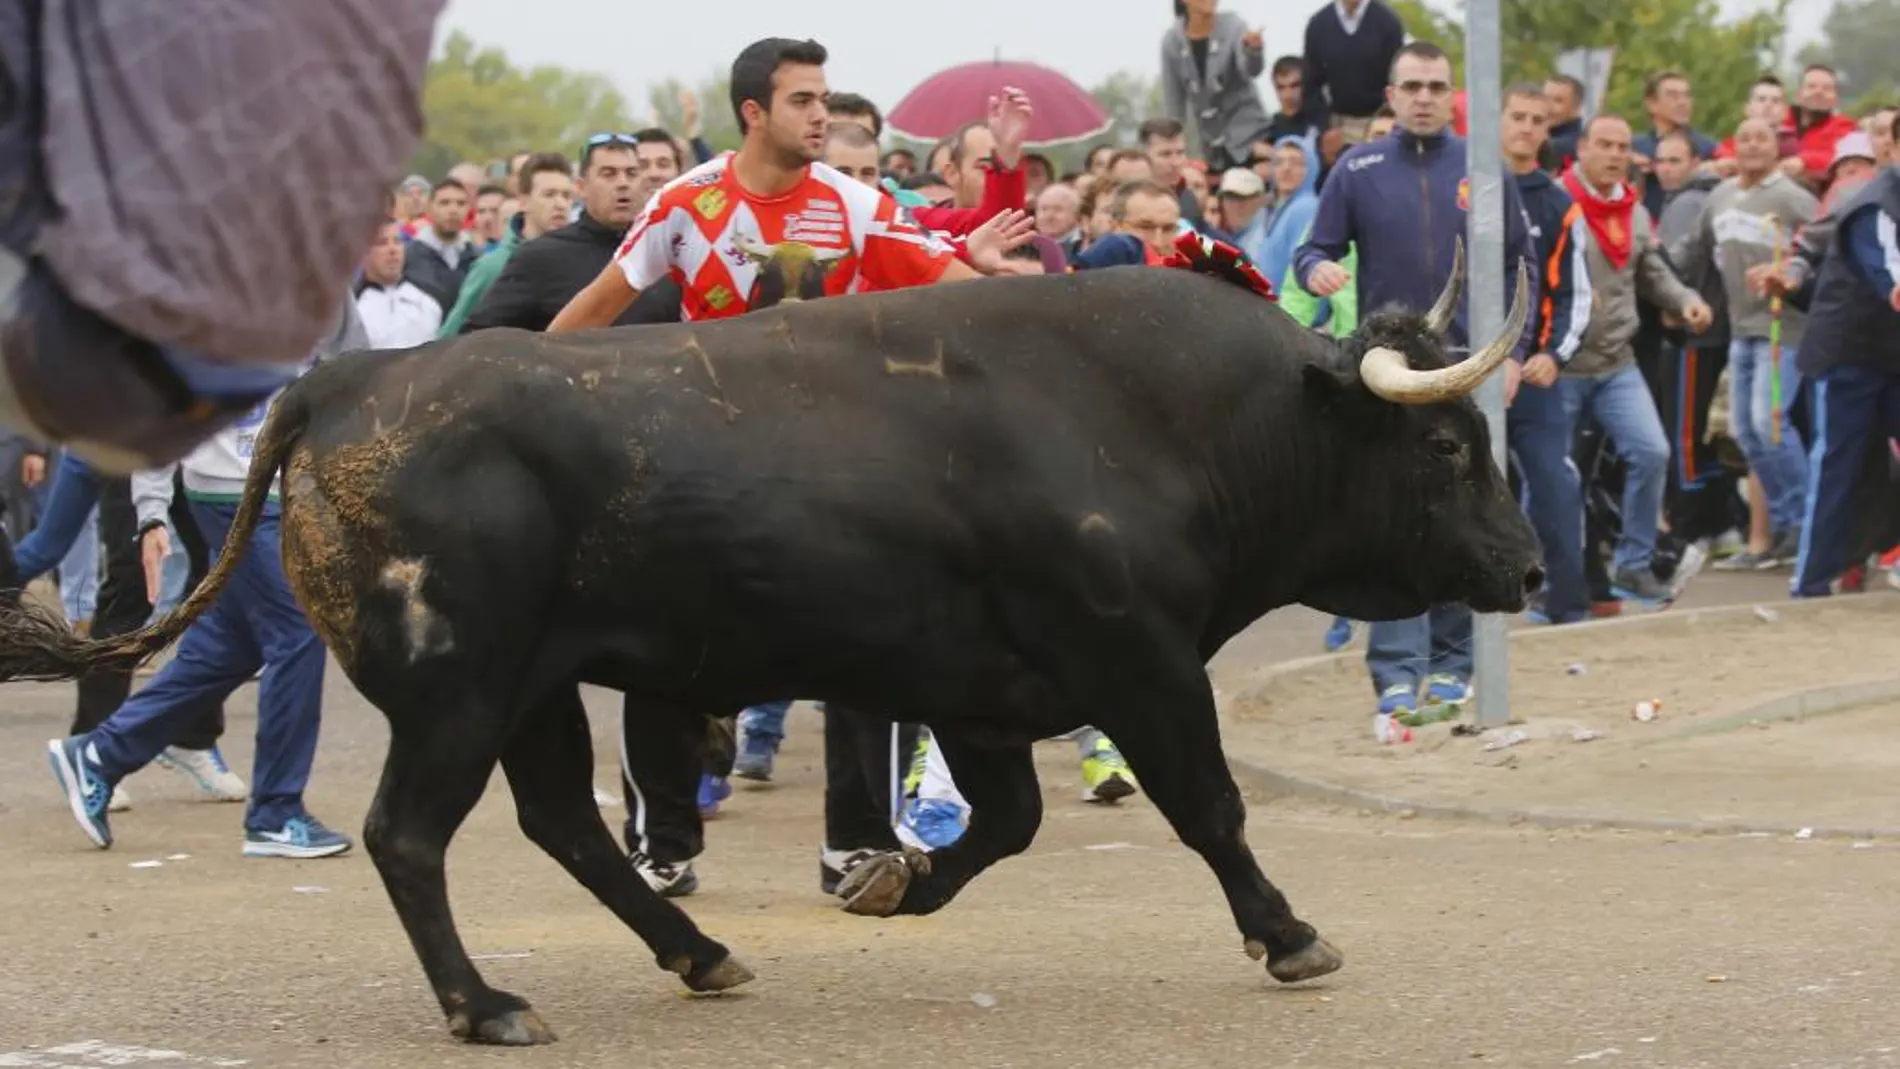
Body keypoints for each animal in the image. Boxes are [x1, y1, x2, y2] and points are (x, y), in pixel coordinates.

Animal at [0, 262, 1535, 1048]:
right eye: (1447, 446)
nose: (1526, 568)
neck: (1153, 412)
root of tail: (350, 377)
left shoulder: (988, 693)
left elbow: (1010, 824)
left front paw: (890, 880)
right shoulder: (1140, 665)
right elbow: (1208, 808)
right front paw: (1289, 934)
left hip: (535, 689)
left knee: (566, 823)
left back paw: (700, 954)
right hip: (457, 687)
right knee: (408, 835)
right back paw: (487, 1002)